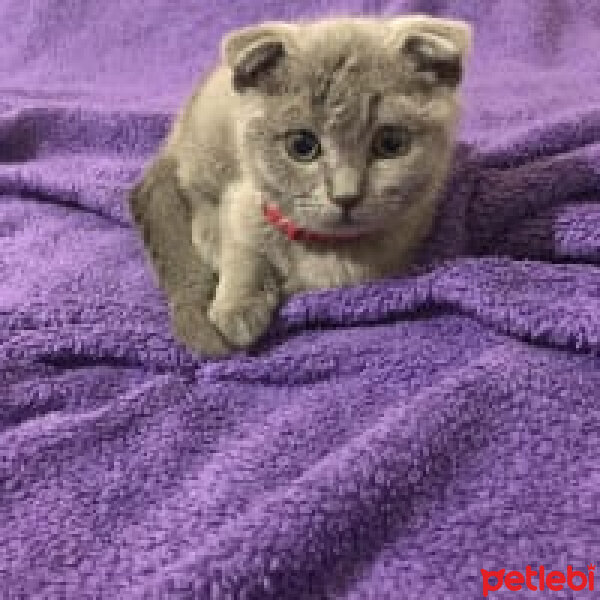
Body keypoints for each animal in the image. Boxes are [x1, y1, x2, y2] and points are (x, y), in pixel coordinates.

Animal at [129, 15, 472, 356]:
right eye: (302, 146)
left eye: (391, 144)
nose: (346, 196)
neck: (320, 246)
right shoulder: (244, 197)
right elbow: (242, 246)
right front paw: (238, 306)